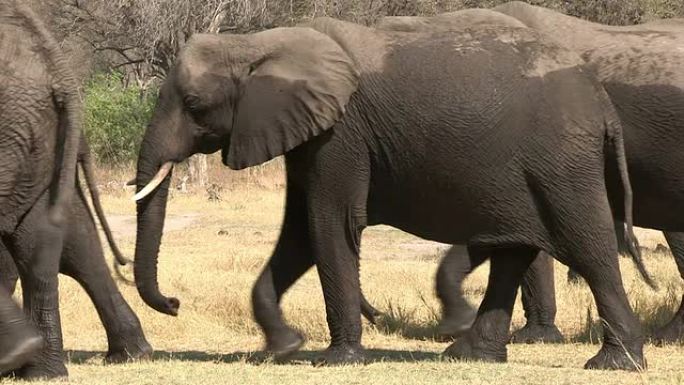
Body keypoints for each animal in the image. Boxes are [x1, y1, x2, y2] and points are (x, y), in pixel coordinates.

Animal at [131, 17, 648, 368]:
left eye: (194, 104)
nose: (173, 303)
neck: (259, 43)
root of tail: (601, 99)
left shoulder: (340, 134)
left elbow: (328, 224)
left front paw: (336, 360)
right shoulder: (308, 132)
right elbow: (297, 234)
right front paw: (284, 346)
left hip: (562, 162)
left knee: (589, 247)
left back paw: (614, 363)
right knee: (513, 250)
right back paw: (468, 355)